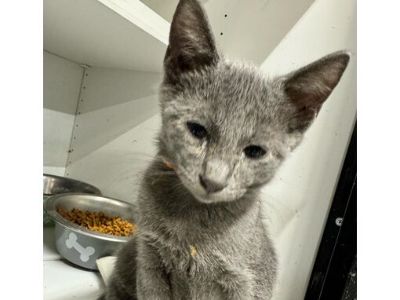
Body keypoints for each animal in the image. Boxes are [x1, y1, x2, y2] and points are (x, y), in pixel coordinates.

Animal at [100, 0, 350, 300]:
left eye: (255, 152)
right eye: (197, 130)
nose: (212, 181)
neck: (193, 226)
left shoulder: (245, 283)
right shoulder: (150, 261)